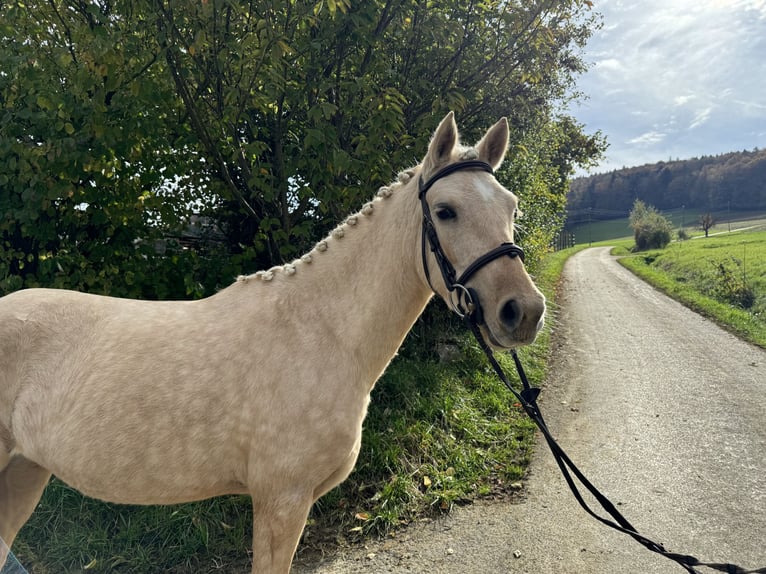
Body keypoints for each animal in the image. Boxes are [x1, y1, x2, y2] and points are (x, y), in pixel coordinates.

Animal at [3, 112, 548, 572]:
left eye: (511, 206)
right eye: (445, 210)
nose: (523, 312)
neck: (322, 333)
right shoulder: (281, 500)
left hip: (25, 470)